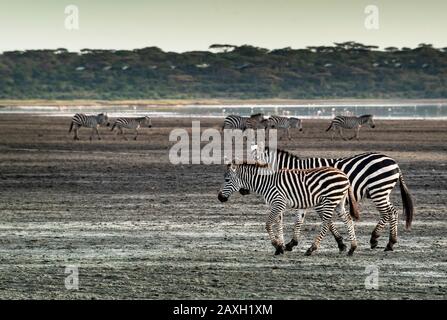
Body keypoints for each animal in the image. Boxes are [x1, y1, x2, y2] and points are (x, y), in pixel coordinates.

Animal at [217, 162, 360, 255]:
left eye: (227, 180)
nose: (219, 197)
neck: (266, 183)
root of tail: (344, 175)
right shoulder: (277, 204)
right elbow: (279, 225)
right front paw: (280, 247)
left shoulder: (278, 203)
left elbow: (268, 224)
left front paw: (276, 245)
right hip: (339, 202)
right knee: (348, 220)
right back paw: (352, 248)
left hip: (330, 200)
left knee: (326, 223)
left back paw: (312, 248)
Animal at [247, 146, 414, 251]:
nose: (244, 190)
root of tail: (394, 162)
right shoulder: (303, 198)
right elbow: (299, 220)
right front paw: (292, 243)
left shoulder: (316, 200)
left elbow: (327, 221)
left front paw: (340, 243)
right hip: (383, 191)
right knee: (394, 211)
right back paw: (390, 243)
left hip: (378, 189)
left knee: (387, 213)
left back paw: (375, 239)